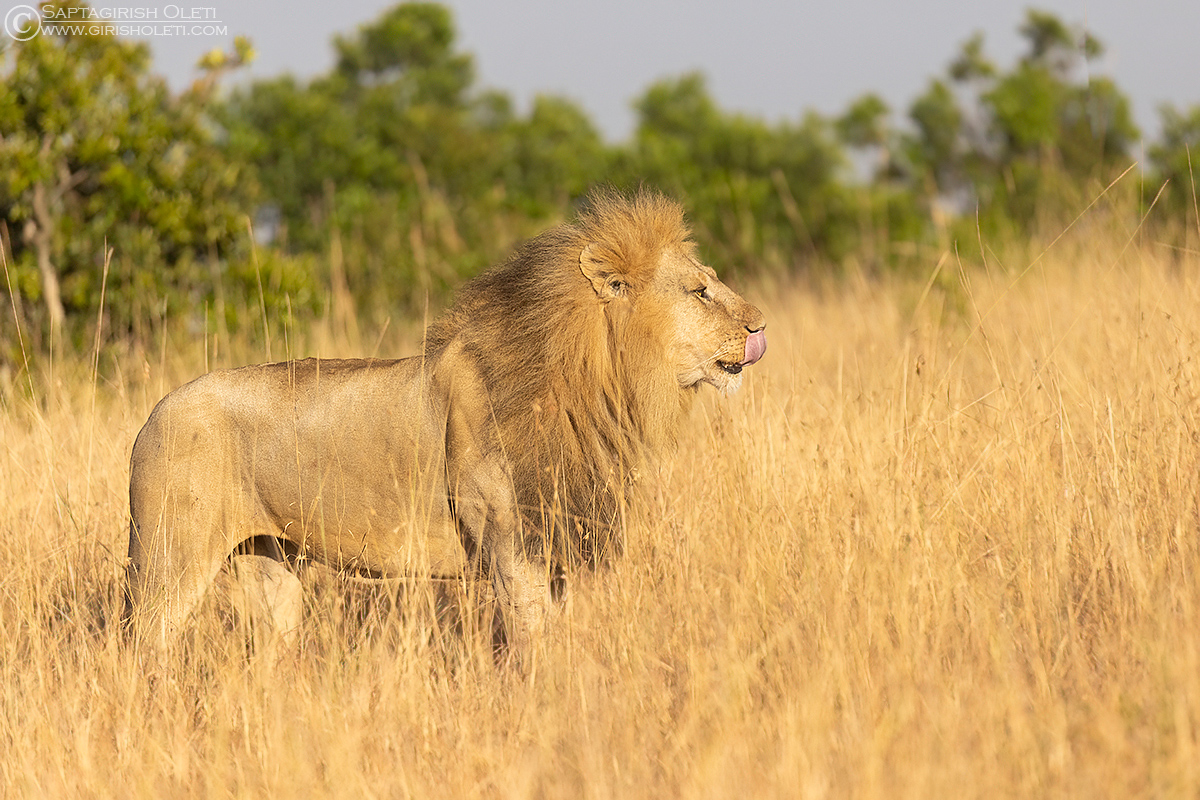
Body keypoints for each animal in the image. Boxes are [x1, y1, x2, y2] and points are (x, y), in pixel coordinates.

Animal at [124, 190, 768, 652]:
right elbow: (534, 649)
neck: (599, 386)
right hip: (169, 558)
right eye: (700, 290)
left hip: (270, 565)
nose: (760, 326)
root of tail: (154, 413)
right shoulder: (515, 550)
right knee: (138, 645)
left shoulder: (561, 548)